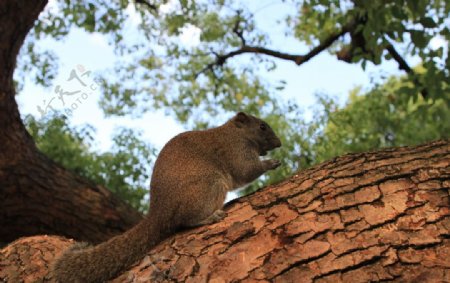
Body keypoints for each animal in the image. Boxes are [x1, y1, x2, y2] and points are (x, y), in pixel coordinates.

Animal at [49, 112, 282, 282]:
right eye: (262, 126)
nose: (279, 143)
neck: (236, 133)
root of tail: (158, 213)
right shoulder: (236, 150)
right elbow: (246, 171)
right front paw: (272, 163)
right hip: (210, 187)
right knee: (185, 221)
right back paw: (208, 217)